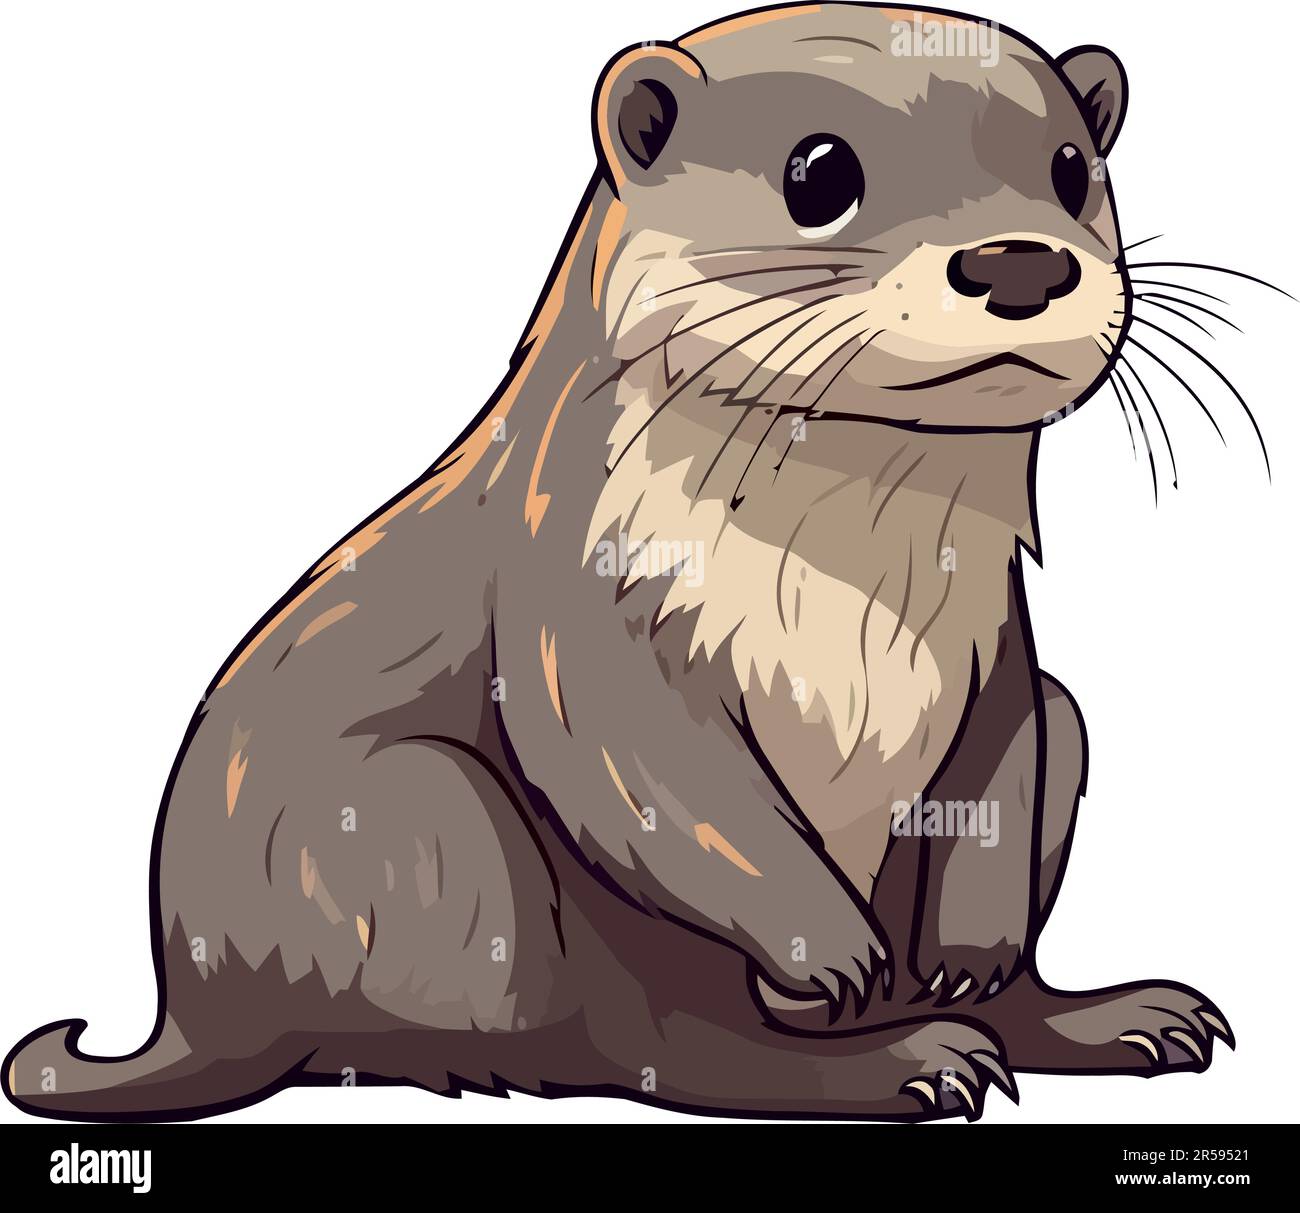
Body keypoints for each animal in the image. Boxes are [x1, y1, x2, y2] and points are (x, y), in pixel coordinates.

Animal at [4, 3, 1238, 1122]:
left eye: (1072, 169)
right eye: (818, 171)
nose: (1018, 263)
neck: (847, 585)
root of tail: (194, 997)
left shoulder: (994, 642)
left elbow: (1003, 762)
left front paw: (969, 959)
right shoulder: (583, 610)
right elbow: (646, 776)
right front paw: (836, 956)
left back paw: (1096, 1018)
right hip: (422, 821)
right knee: (635, 1042)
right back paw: (897, 1059)